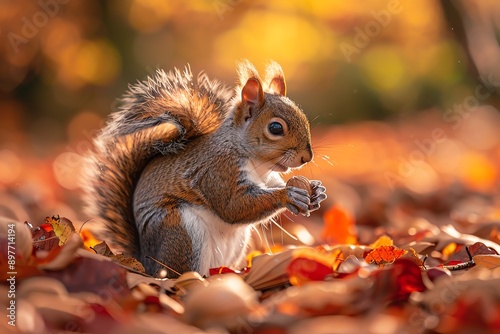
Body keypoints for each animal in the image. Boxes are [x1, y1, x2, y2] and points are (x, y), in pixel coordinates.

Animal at [84, 60, 326, 276]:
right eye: (275, 128)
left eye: (304, 118)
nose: (307, 157)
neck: (257, 164)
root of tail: (145, 260)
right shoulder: (218, 170)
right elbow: (234, 206)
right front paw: (289, 195)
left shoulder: (268, 178)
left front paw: (316, 191)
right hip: (182, 232)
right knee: (178, 272)